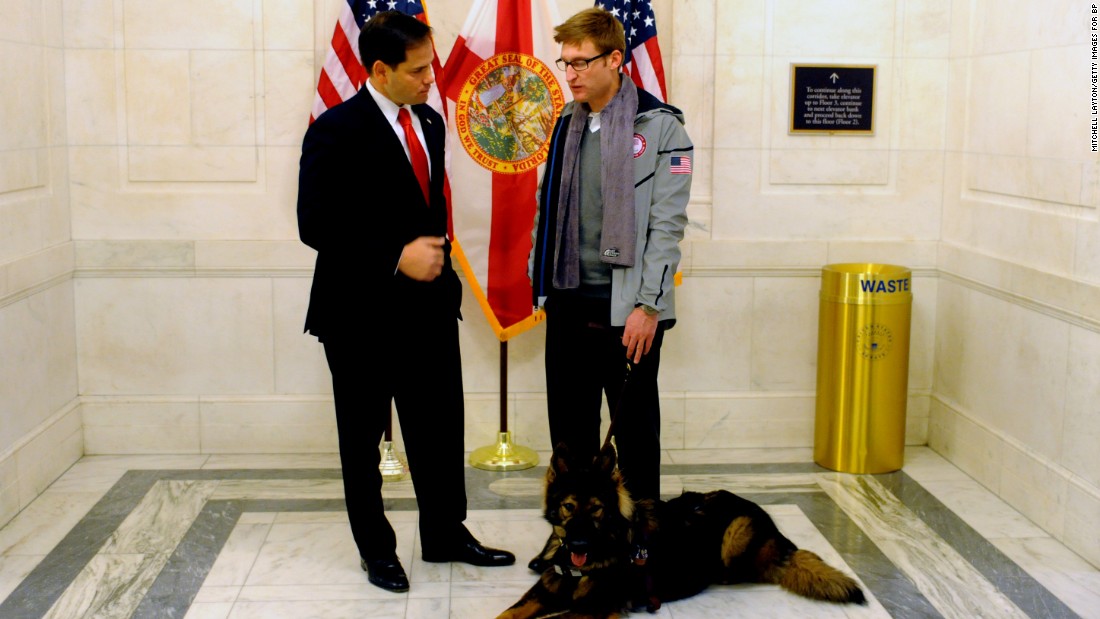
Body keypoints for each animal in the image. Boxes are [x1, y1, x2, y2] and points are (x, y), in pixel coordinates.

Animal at [499, 446, 866, 619]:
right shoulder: (541, 595)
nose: (577, 544)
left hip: (734, 536)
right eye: (568, 507)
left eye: (596, 509)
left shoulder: (592, 608)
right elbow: (508, 613)